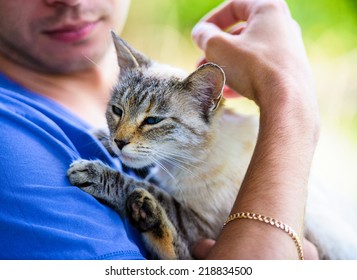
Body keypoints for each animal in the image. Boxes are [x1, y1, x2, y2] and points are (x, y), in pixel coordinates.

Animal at [67, 31, 356, 260]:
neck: (182, 163)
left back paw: (146, 211)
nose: (119, 141)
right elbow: (145, 169)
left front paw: (95, 173)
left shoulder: (205, 227)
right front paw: (100, 136)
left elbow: (145, 187)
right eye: (117, 111)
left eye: (152, 121)